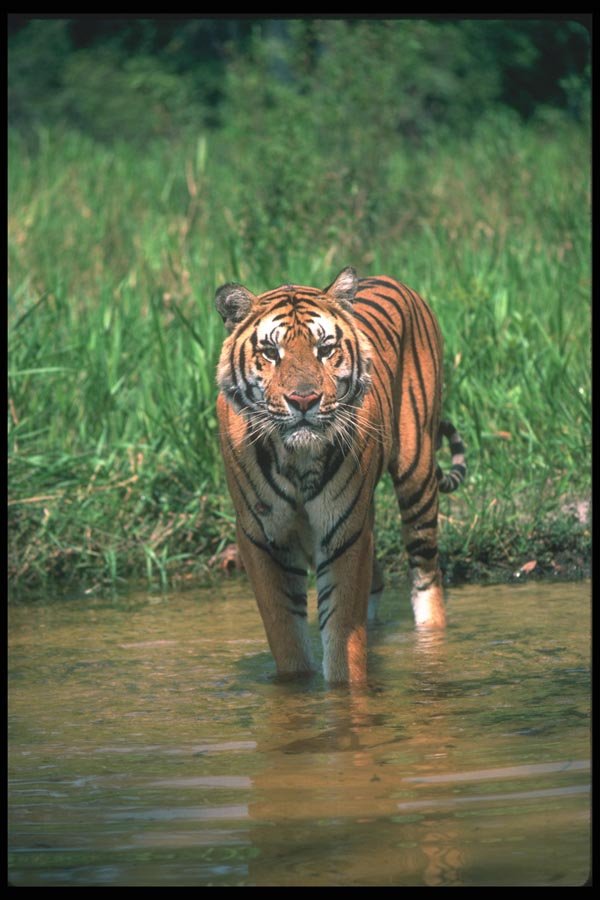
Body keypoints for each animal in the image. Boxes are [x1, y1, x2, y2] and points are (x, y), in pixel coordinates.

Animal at [215, 267, 466, 684]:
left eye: (325, 348)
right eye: (271, 352)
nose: (303, 400)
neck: (296, 458)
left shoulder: (344, 535)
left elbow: (342, 636)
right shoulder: (262, 539)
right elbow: (287, 637)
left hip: (416, 473)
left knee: (426, 573)